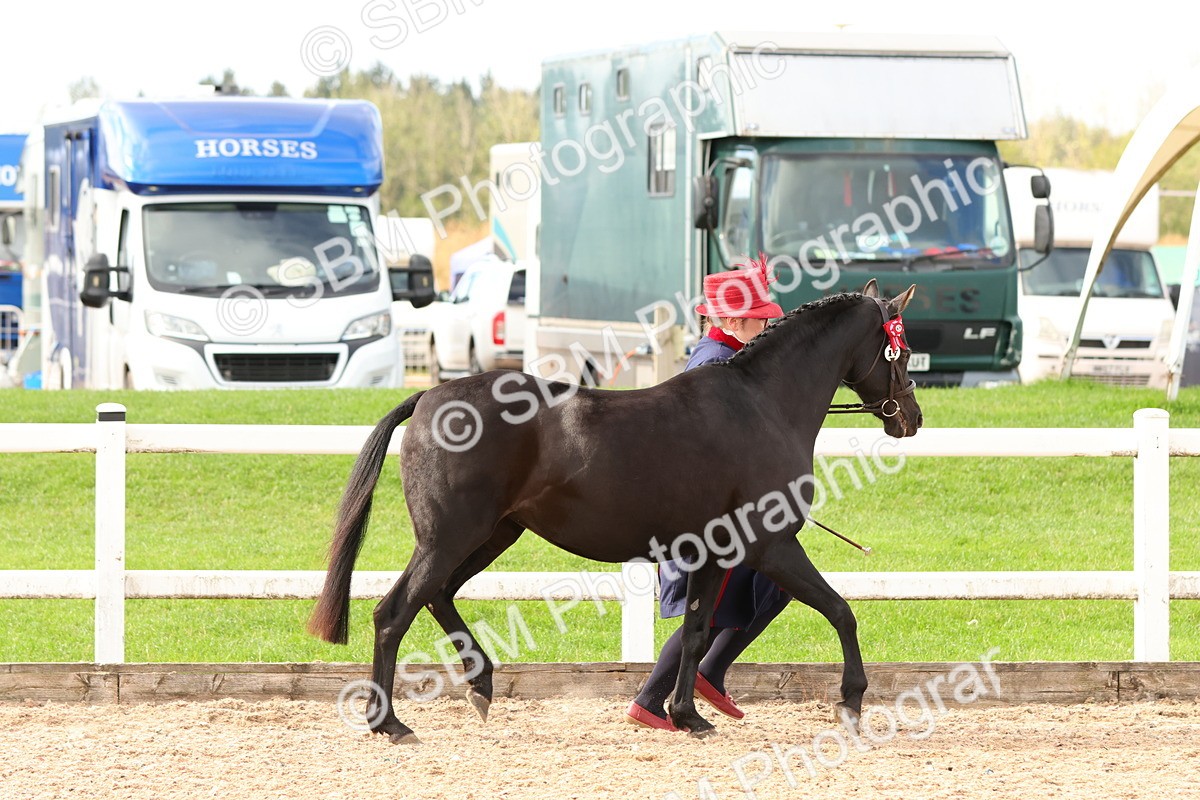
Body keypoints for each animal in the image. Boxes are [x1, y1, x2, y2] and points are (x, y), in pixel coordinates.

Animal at [308, 279, 922, 743]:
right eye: (904, 349)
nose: (911, 417)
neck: (762, 405)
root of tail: (429, 397)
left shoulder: (715, 553)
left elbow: (695, 631)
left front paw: (687, 716)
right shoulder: (768, 545)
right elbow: (841, 611)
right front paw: (851, 702)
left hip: (490, 536)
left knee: (437, 597)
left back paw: (480, 687)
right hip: (450, 538)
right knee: (393, 613)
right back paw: (389, 722)